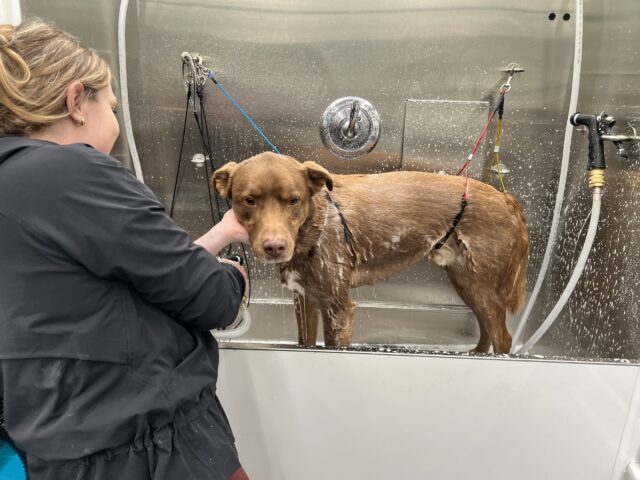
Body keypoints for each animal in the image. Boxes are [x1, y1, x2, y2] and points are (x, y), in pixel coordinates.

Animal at [212, 153, 528, 352]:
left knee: (503, 337)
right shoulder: (305, 299)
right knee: (486, 329)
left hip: (481, 284)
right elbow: (305, 343)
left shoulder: (338, 308)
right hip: (466, 282)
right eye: (249, 200)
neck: (314, 227)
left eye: (293, 200)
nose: (275, 247)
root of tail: (508, 199)